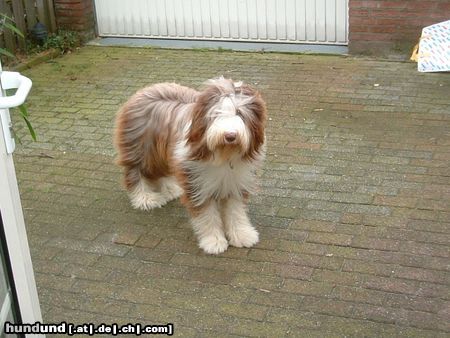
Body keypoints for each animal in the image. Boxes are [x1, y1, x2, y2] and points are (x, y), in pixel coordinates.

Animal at [114, 77, 266, 254]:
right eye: (216, 114)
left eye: (240, 113)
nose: (230, 135)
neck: (223, 155)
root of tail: (147, 89)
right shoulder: (197, 183)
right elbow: (207, 215)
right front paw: (214, 241)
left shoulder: (236, 182)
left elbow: (236, 211)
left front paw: (242, 235)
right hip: (142, 150)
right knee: (136, 172)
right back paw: (145, 198)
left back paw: (171, 190)